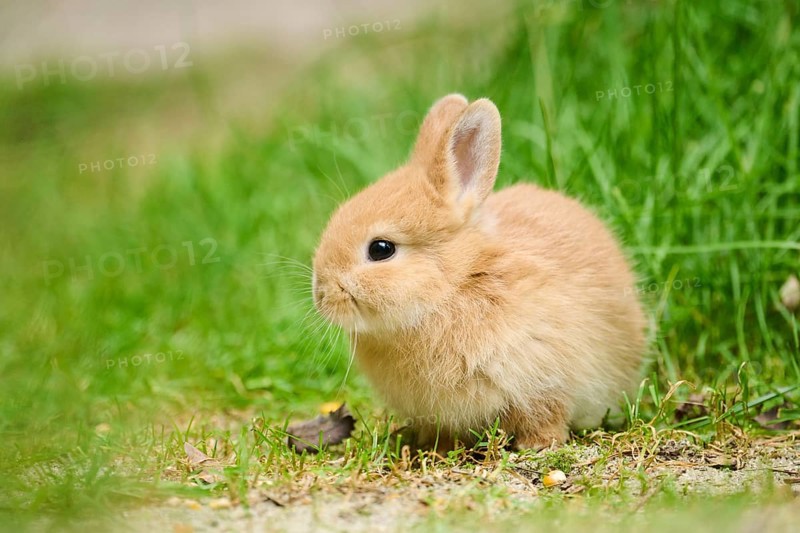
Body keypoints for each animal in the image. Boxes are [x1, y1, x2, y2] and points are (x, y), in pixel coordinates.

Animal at [312, 94, 647, 450]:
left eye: (381, 249)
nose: (321, 294)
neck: (457, 283)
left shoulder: (545, 376)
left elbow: (545, 414)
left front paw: (538, 445)